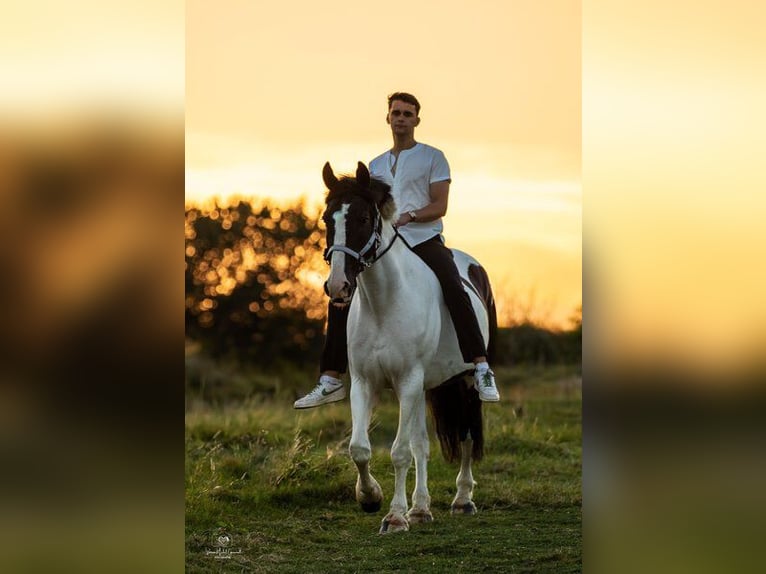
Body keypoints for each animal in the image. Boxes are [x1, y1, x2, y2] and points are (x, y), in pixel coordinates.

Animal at [322, 161, 498, 536]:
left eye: (362, 218)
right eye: (327, 219)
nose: (338, 285)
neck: (383, 303)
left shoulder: (407, 381)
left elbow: (399, 452)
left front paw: (395, 516)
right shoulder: (366, 383)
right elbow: (360, 448)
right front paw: (370, 498)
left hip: (462, 382)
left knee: (465, 436)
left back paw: (462, 500)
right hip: (424, 387)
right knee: (423, 444)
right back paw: (421, 509)